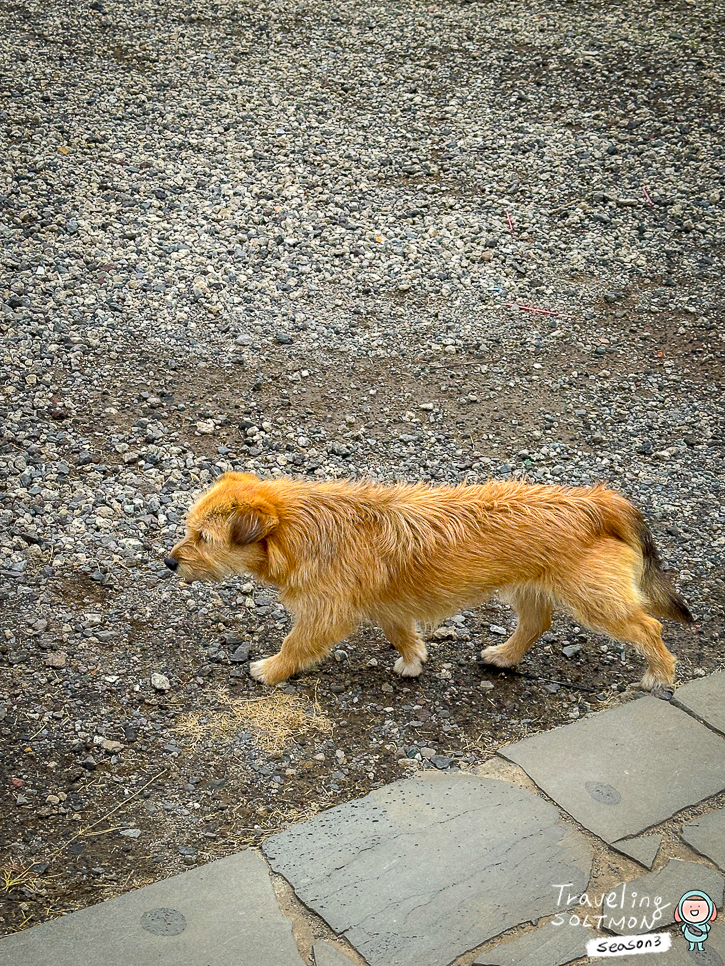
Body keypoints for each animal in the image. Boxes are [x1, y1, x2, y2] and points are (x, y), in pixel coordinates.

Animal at [164, 472, 692, 692]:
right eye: (189, 529)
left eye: (203, 537)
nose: (169, 563)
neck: (302, 529)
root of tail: (598, 502)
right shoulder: (386, 607)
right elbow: (402, 634)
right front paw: (414, 661)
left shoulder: (324, 612)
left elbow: (296, 644)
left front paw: (271, 670)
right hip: (530, 587)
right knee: (535, 623)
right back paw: (505, 656)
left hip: (596, 600)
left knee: (650, 628)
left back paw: (659, 675)